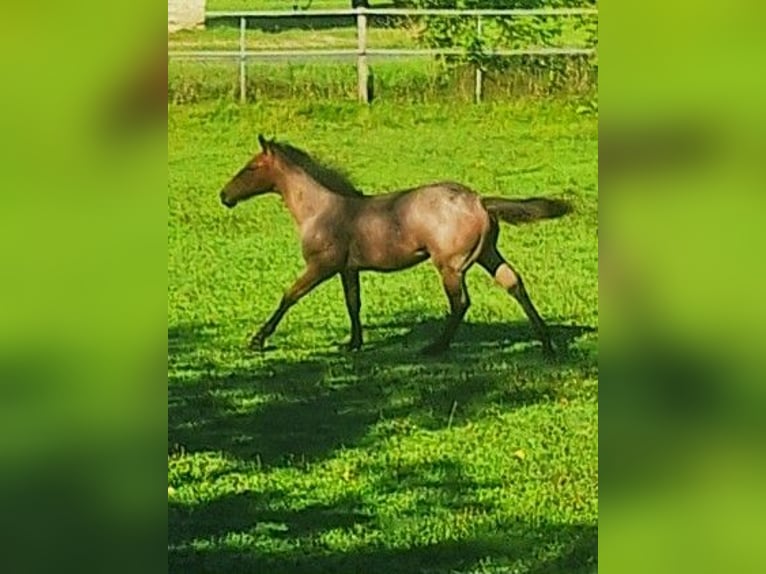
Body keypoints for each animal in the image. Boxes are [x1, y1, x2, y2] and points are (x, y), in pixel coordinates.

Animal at [219, 135, 572, 356]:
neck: (323, 209)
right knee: (514, 283)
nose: (224, 195)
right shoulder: (348, 269)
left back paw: (436, 348)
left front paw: (257, 339)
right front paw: (353, 343)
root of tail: (479, 201)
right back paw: (547, 344)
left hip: (451, 266)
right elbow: (353, 303)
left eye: (251, 167)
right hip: (487, 254)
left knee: (460, 303)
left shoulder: (322, 266)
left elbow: (289, 295)